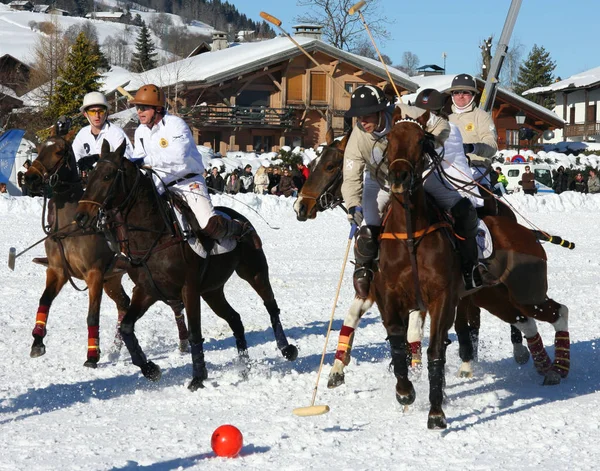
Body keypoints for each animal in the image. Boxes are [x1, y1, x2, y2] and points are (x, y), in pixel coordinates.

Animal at [22, 130, 189, 368]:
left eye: (59, 151)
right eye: (40, 148)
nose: (30, 178)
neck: (71, 227)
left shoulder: (95, 274)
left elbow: (93, 315)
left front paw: (92, 355)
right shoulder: (58, 271)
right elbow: (44, 301)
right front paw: (37, 342)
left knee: (173, 304)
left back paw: (183, 343)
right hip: (113, 279)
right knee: (124, 304)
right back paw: (116, 348)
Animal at [74, 140, 298, 390]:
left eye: (107, 176)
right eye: (91, 174)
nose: (81, 216)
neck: (155, 235)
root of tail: (239, 217)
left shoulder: (188, 289)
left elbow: (194, 333)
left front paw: (198, 377)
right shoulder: (147, 290)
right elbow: (126, 328)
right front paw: (150, 369)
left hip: (253, 270)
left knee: (271, 305)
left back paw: (286, 348)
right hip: (212, 290)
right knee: (235, 319)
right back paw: (244, 368)